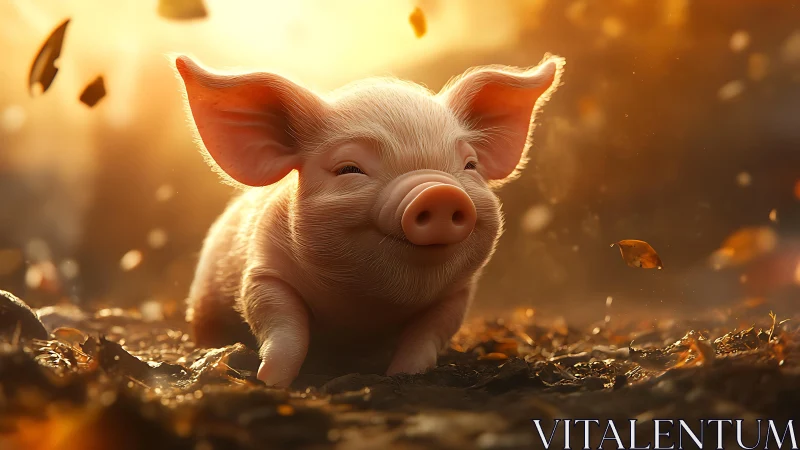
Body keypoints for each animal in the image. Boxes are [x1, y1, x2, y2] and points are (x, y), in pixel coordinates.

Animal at [174, 53, 564, 387]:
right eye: (349, 169)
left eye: (470, 165)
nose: (439, 191)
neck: (364, 310)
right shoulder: (263, 273)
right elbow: (284, 327)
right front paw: (271, 381)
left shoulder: (456, 297)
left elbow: (426, 338)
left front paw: (404, 377)